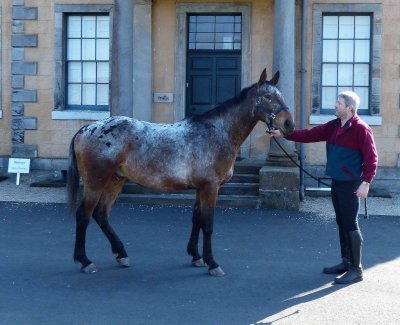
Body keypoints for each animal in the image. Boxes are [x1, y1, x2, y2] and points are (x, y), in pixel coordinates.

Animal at [68, 69, 294, 276]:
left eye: (281, 95)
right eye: (268, 96)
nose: (289, 124)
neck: (217, 133)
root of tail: (85, 129)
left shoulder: (200, 188)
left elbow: (197, 220)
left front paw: (196, 256)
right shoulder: (211, 187)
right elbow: (208, 224)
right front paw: (212, 263)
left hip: (116, 180)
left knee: (101, 214)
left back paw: (121, 254)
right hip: (96, 181)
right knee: (84, 215)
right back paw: (85, 261)